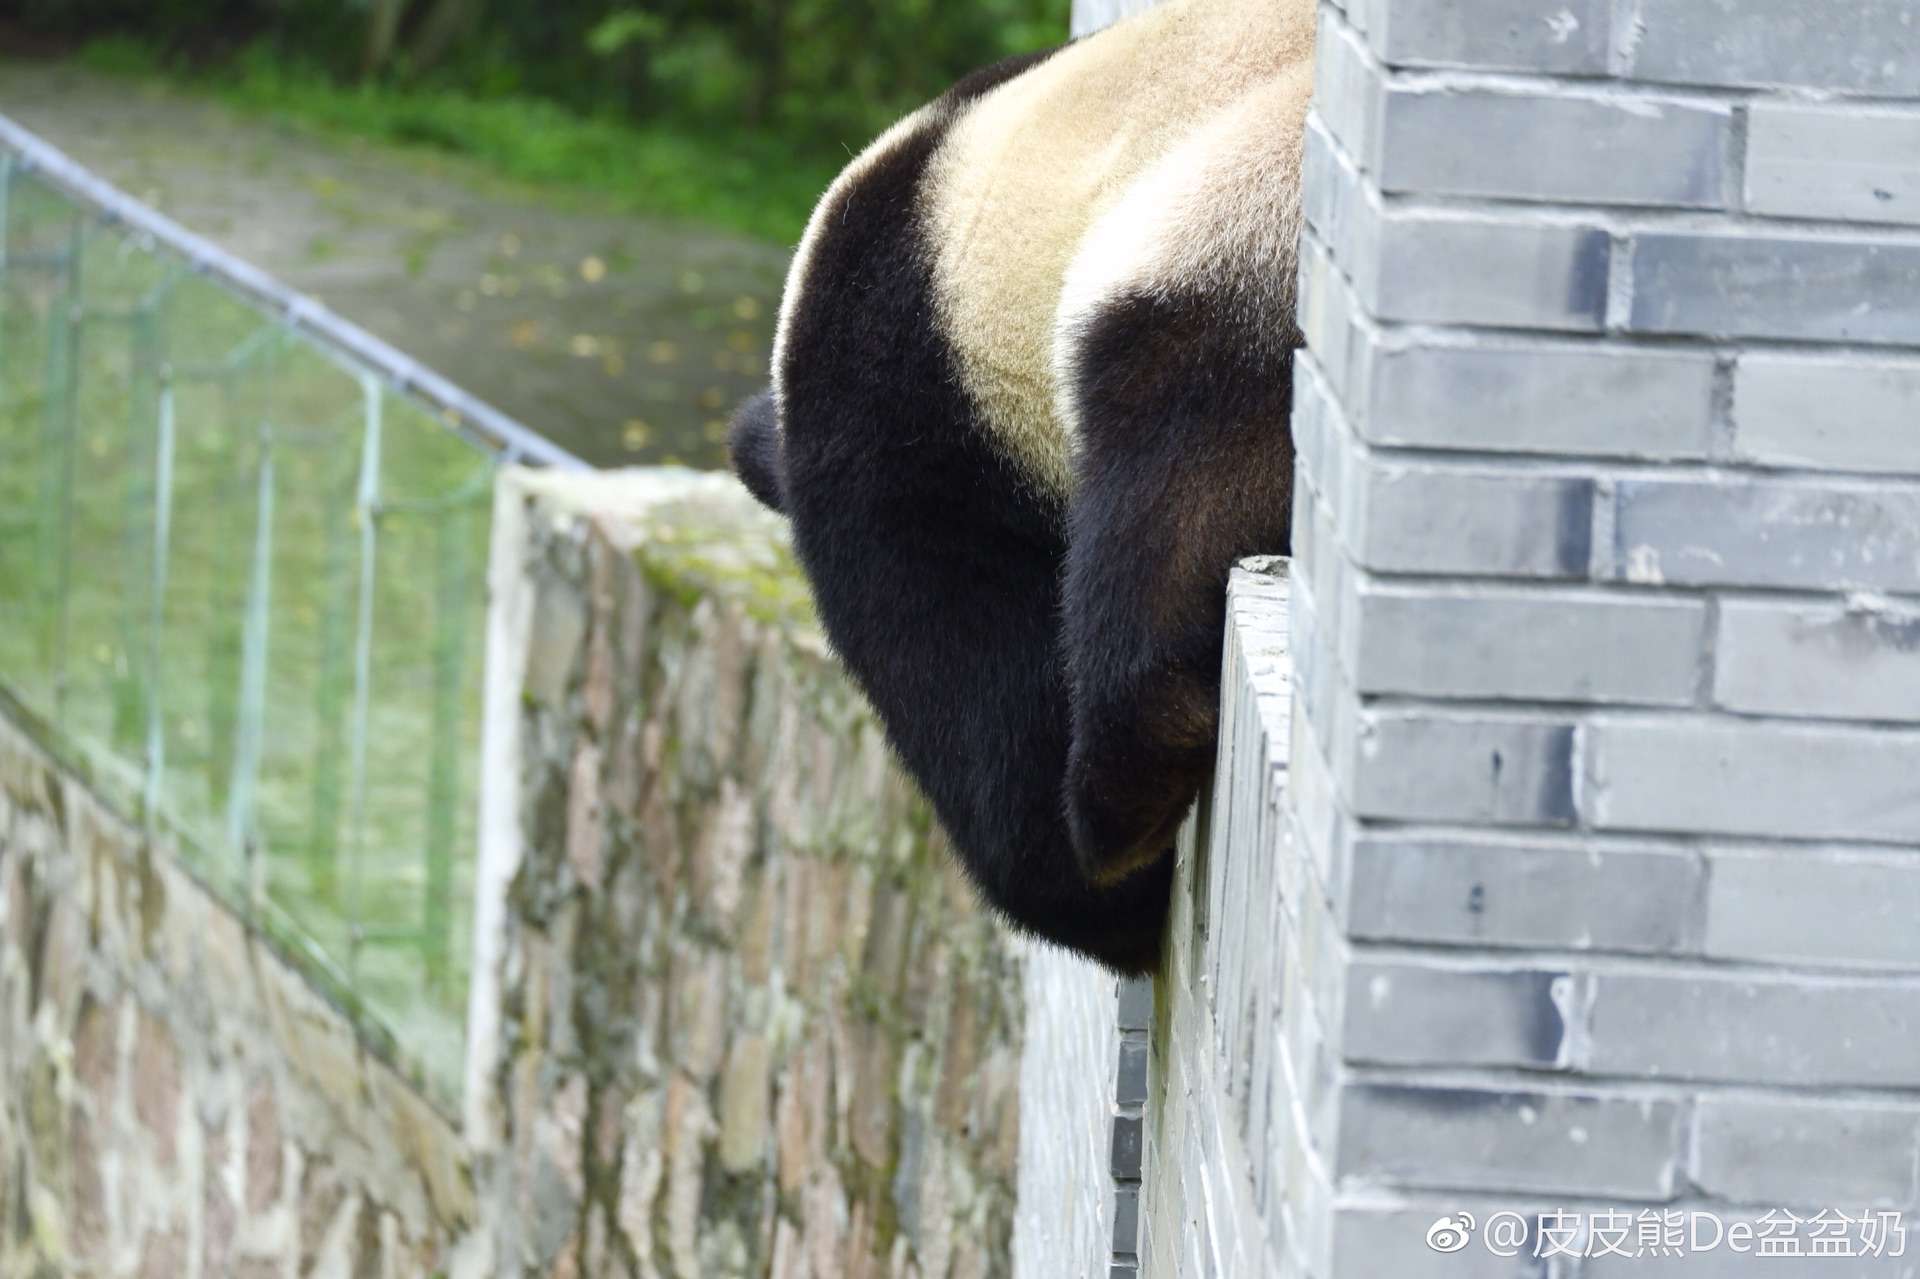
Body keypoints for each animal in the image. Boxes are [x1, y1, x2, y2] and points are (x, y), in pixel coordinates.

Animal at [725, 0, 1313, 967]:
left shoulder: (906, 433)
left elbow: (970, 682)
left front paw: (1089, 886)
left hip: (1245, 221)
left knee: (1172, 477)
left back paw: (1121, 792)